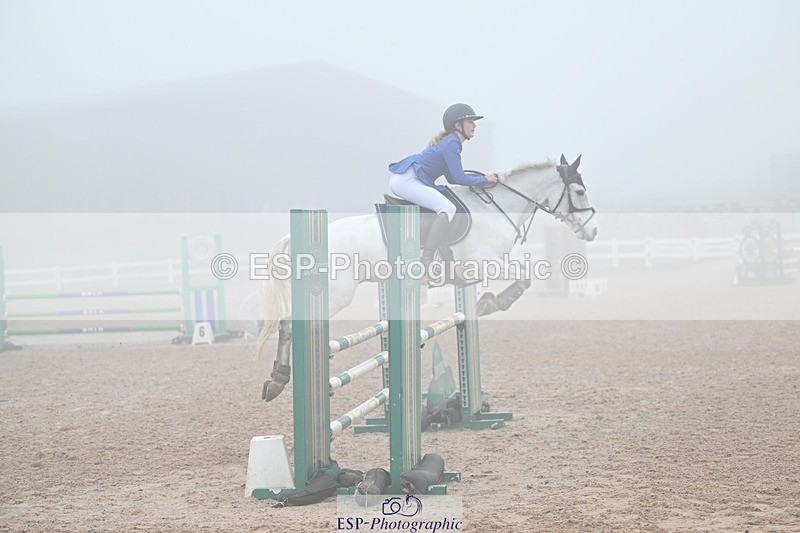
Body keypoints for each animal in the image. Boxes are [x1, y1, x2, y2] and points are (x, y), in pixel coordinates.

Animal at [258, 154, 597, 401]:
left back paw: (276, 380)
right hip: (335, 293)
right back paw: (280, 378)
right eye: (579, 191)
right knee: (292, 324)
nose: (593, 231)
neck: (496, 208)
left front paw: (487, 301)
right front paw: (492, 302)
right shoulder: (483, 264)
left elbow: (522, 278)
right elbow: (525, 278)